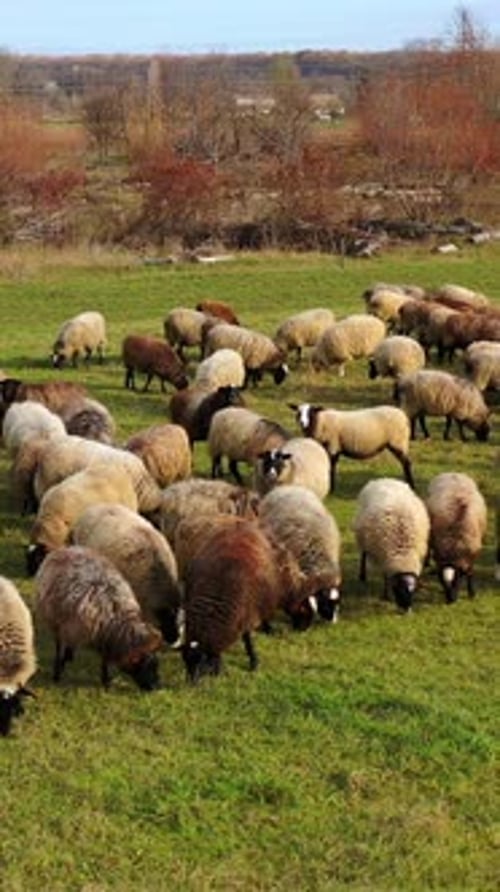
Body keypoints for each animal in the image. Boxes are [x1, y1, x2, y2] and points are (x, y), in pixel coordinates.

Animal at [35, 546, 163, 689]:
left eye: (156, 665)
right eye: (145, 665)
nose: (156, 687)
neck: (116, 616)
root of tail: (69, 548)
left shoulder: (104, 635)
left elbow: (104, 658)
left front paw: (106, 681)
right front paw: (59, 670)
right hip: (55, 620)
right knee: (58, 645)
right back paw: (58, 667)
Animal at [180, 517, 328, 682]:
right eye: (186, 661)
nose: (192, 684)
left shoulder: (248, 611)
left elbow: (248, 639)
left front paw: (253, 662)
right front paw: (219, 668)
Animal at [352, 478, 430, 611]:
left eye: (413, 592)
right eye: (399, 590)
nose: (407, 610)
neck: (403, 552)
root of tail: (384, 479)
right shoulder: (383, 556)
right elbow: (385, 576)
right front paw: (386, 596)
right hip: (362, 537)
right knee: (363, 553)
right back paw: (362, 576)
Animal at [425, 472, 487, 603]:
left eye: (457, 581)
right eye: (442, 582)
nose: (451, 600)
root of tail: (452, 473)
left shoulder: (472, 554)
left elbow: (470, 573)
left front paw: (472, 593)